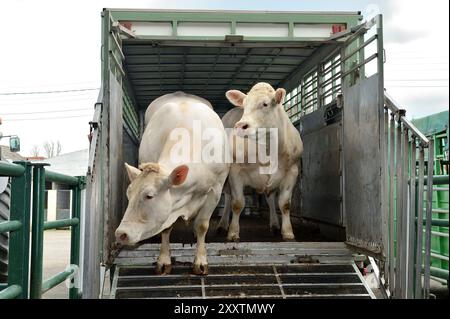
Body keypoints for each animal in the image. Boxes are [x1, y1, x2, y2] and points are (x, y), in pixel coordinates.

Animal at [114, 92, 230, 276]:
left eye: (149, 196)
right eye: (128, 195)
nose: (120, 234)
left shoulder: (216, 189)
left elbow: (202, 225)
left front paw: (201, 261)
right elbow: (166, 228)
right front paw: (164, 260)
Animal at [217, 84, 304, 241]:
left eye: (265, 104)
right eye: (244, 105)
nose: (240, 125)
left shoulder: (292, 171)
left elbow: (284, 204)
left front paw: (287, 232)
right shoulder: (235, 171)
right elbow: (237, 203)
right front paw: (233, 232)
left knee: (270, 199)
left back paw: (274, 224)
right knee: (227, 197)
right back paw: (223, 224)